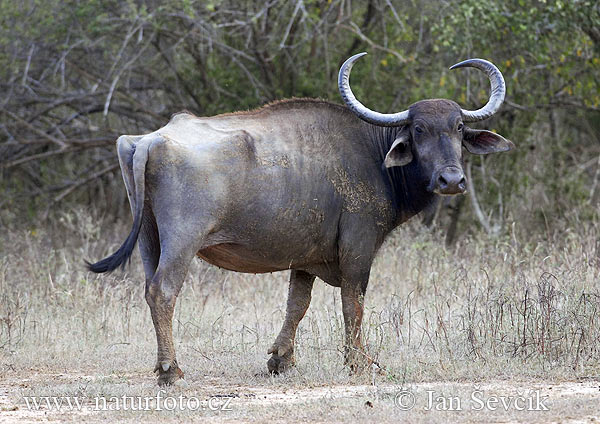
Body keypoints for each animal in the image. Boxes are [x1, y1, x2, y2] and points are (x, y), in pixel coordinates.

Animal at [86, 52, 512, 384]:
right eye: (419, 129)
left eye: (458, 127)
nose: (451, 180)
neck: (375, 155)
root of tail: (150, 140)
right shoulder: (358, 249)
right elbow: (353, 302)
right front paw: (358, 362)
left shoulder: (304, 258)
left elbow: (298, 303)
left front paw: (281, 360)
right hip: (182, 242)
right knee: (163, 291)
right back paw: (170, 370)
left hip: (149, 240)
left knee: (148, 289)